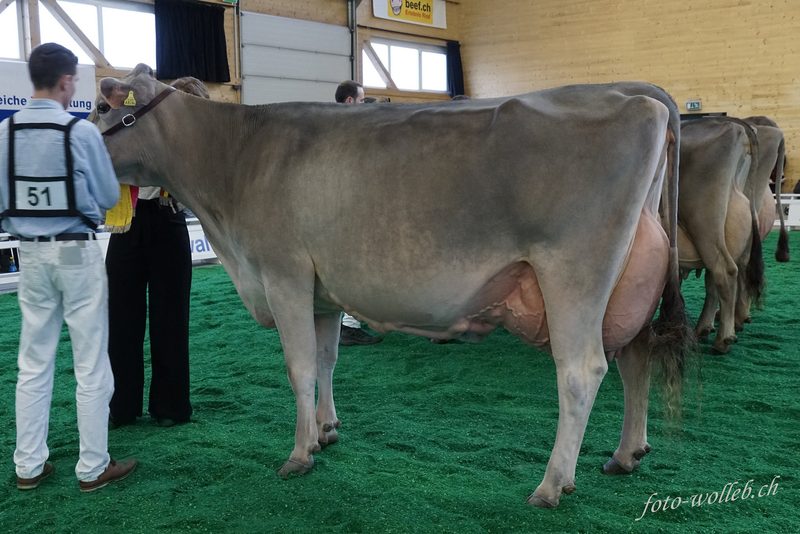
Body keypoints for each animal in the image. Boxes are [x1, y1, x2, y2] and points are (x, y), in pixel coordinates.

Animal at [92, 66, 693, 508]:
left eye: (100, 107)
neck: (235, 160)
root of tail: (633, 92)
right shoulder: (320, 291)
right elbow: (328, 359)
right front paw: (326, 429)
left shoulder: (284, 274)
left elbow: (299, 367)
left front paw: (299, 454)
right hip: (628, 279)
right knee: (635, 356)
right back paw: (625, 455)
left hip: (573, 273)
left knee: (582, 370)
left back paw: (551, 484)